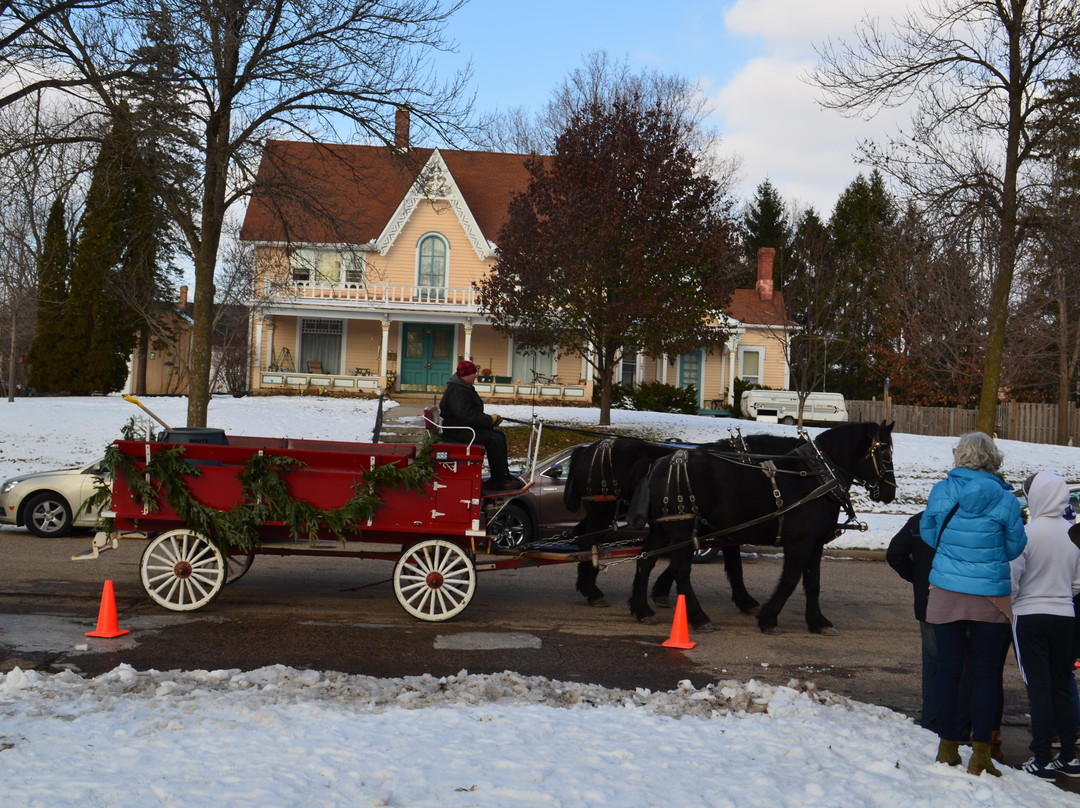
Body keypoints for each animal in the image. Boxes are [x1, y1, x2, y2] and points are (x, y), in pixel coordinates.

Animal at [626, 419, 894, 635]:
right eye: (885, 454)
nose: (890, 492)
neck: (819, 477)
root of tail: (657, 464)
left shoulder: (815, 544)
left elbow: (813, 583)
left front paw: (818, 622)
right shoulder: (799, 543)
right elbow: (789, 579)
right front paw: (768, 619)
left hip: (663, 529)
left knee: (644, 561)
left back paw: (642, 610)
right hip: (681, 529)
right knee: (681, 569)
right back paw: (698, 618)